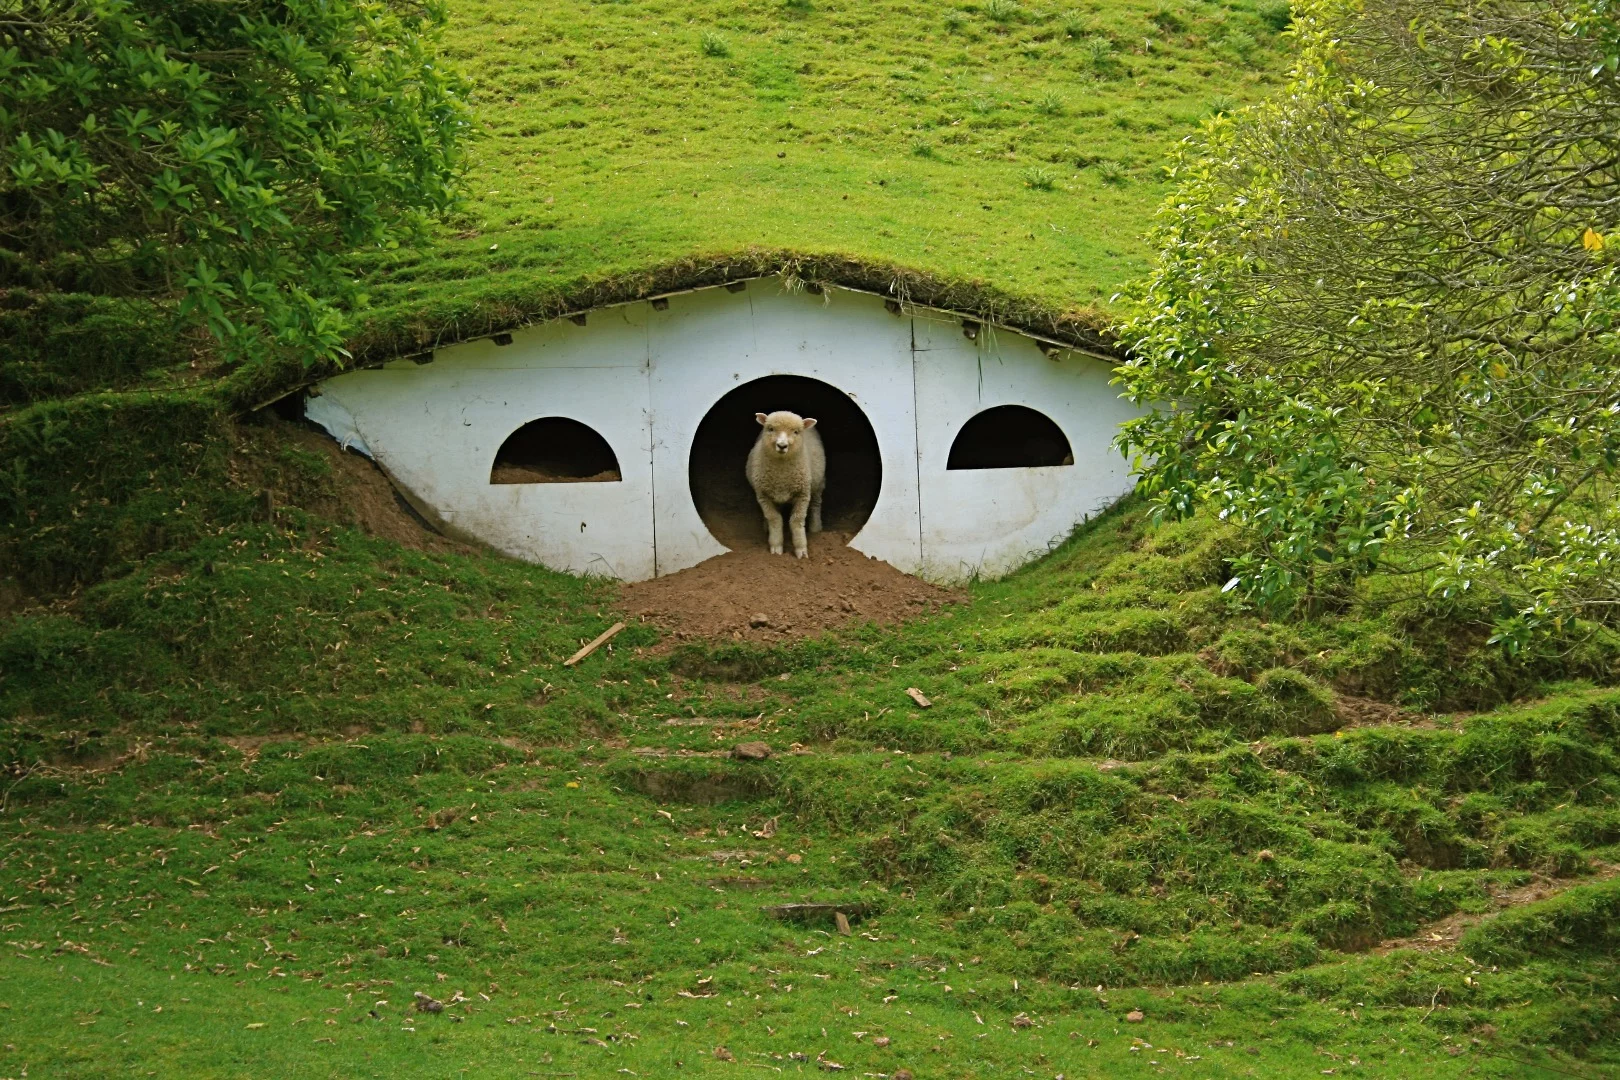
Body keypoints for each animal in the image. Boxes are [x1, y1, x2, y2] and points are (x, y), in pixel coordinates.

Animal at [745, 410, 826, 558]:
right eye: (771, 429)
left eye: (796, 432)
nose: (782, 445)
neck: (782, 476)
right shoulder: (763, 496)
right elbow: (774, 518)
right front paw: (776, 547)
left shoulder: (803, 495)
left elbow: (796, 521)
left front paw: (801, 550)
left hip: (818, 483)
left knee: (816, 505)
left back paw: (816, 528)